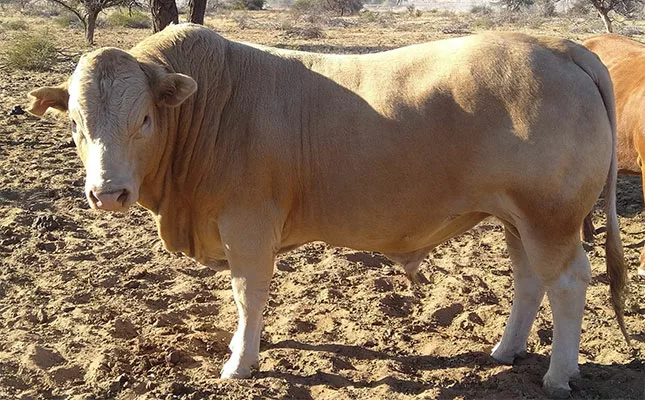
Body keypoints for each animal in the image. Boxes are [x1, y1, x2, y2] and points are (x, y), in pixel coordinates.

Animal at [27, 24, 628, 398]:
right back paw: (505, 351)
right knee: (529, 279)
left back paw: (559, 374)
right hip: (515, 217)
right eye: (76, 124)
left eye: (145, 120)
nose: (107, 193)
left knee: (568, 281)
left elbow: (248, 294)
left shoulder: (247, 226)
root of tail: (557, 44)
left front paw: (238, 363)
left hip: (550, 217)